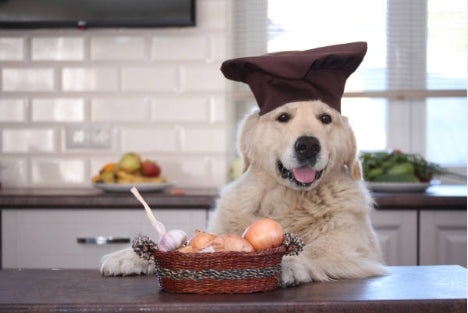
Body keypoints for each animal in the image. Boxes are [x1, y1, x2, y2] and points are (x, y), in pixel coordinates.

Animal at [100, 98, 386, 284]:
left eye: (326, 118)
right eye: (283, 117)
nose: (308, 145)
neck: (287, 199)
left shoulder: (354, 249)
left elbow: (314, 250)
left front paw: (286, 264)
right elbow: (180, 245)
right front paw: (127, 256)